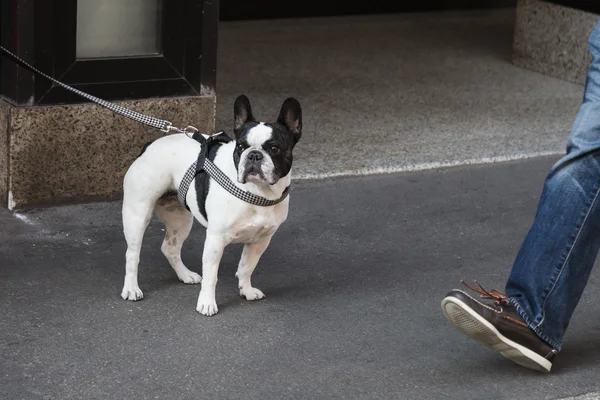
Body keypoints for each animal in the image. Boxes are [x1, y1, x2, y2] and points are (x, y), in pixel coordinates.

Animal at [120, 95, 302, 318]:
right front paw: (206, 303)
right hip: (138, 214)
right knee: (132, 254)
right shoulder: (216, 240)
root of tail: (149, 146)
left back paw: (185, 275)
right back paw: (131, 289)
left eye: (274, 148)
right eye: (240, 147)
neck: (258, 192)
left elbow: (247, 266)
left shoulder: (260, 241)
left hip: (180, 219)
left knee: (170, 247)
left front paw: (247, 290)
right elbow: (211, 276)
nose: (254, 155)